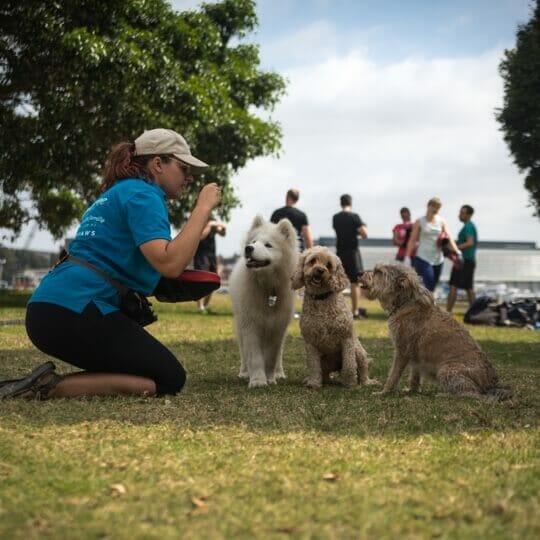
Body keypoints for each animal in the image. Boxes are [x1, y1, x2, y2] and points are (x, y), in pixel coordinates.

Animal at [227, 215, 298, 388]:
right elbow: (254, 357)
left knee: (278, 356)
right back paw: (245, 373)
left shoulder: (277, 328)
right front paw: (258, 381)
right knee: (244, 353)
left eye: (268, 245)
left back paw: (279, 373)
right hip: (240, 327)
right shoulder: (250, 325)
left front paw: (270, 378)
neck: (268, 289)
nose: (248, 248)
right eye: (253, 241)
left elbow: (272, 357)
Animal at [294, 247, 378, 390]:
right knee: (324, 373)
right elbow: (313, 366)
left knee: (362, 370)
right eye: (312, 261)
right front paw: (314, 383)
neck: (322, 299)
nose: (320, 270)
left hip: (359, 351)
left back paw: (366, 382)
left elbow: (349, 365)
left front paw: (350, 384)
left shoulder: (347, 339)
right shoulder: (310, 343)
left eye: (328, 265)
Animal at [358, 264, 510, 398]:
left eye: (378, 272)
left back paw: (444, 395)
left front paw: (384, 392)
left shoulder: (402, 351)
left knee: (472, 394)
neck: (405, 303)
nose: (359, 273)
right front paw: (412, 390)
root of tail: (491, 384)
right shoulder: (415, 356)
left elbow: (393, 375)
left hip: (446, 371)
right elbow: (415, 375)